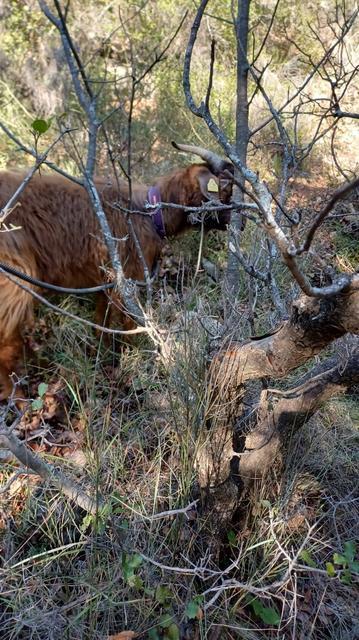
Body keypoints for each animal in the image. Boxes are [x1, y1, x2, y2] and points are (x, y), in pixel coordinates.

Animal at [0, 144, 233, 400]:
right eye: (225, 193)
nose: (238, 223)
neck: (148, 212)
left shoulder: (106, 280)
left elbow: (101, 319)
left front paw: (101, 353)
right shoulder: (129, 278)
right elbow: (129, 323)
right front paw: (131, 358)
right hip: (13, 284)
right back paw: (19, 399)